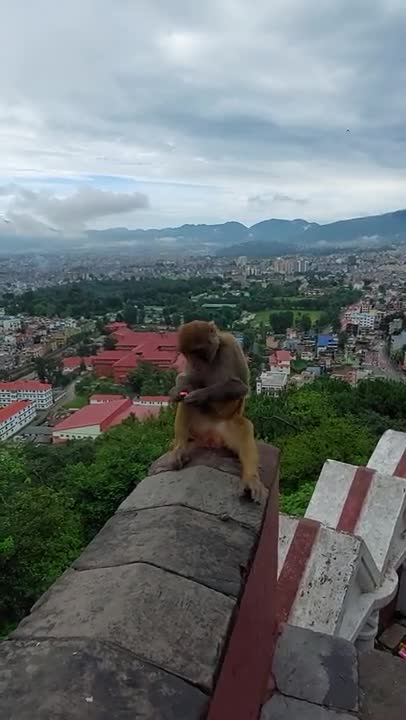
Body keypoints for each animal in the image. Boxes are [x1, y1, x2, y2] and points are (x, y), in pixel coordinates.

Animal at [169, 320, 267, 503]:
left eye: (198, 352)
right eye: (188, 354)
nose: (195, 362)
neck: (215, 354)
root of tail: (211, 437)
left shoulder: (232, 344)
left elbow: (241, 386)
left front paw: (199, 395)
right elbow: (186, 379)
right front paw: (178, 390)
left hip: (226, 429)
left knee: (243, 426)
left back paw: (251, 479)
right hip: (198, 427)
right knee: (186, 403)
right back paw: (180, 448)